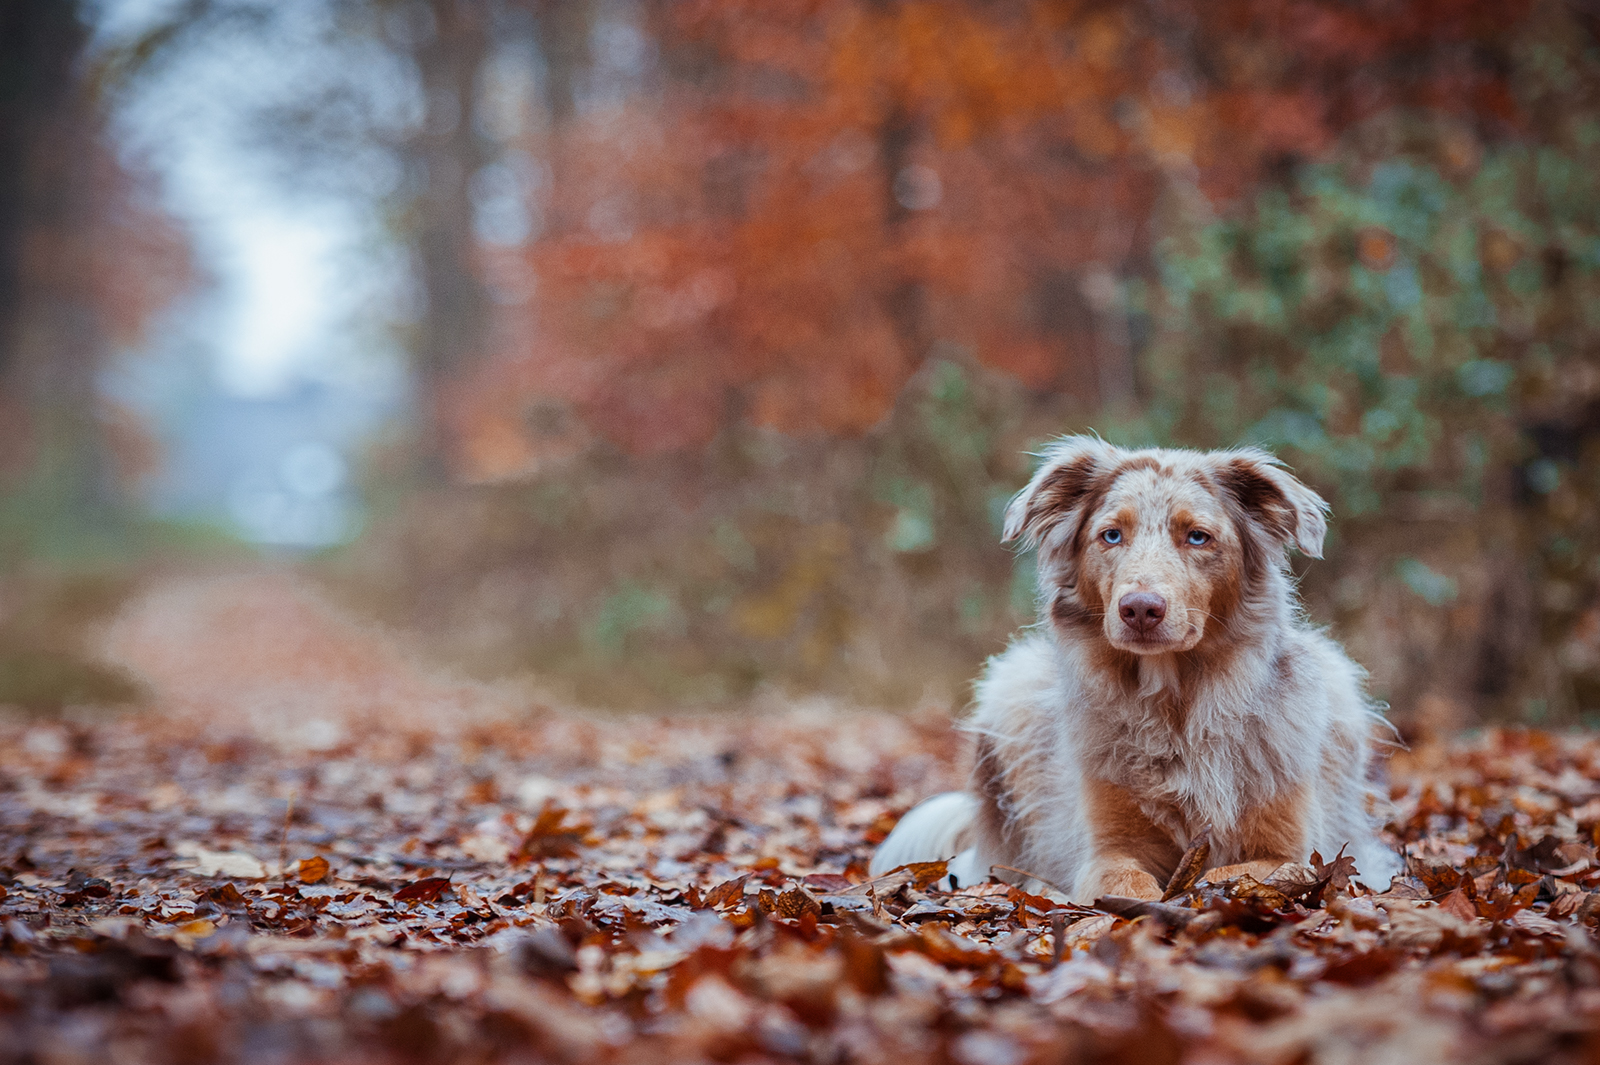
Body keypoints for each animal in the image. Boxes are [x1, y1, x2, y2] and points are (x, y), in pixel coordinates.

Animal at [876, 434, 1401, 901]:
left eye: (1197, 537)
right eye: (1111, 535)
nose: (1141, 609)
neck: (1176, 710)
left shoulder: (1293, 847)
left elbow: (1244, 870)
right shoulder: (1108, 844)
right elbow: (1124, 879)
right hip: (1013, 689)